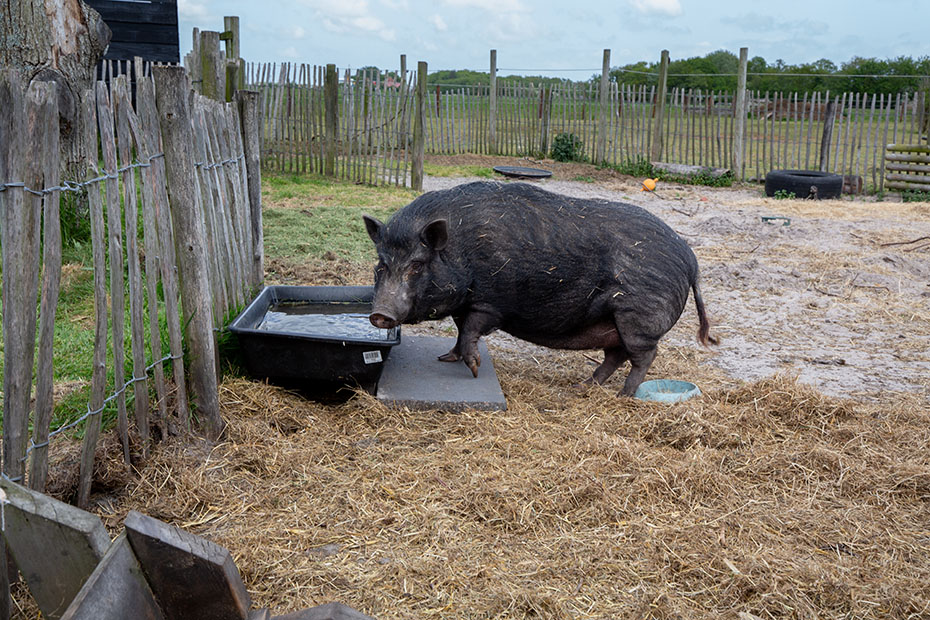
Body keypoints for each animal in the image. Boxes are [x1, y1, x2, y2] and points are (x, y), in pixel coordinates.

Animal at [362, 181, 716, 396]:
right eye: (381, 263)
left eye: (417, 264)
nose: (380, 314)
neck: (462, 251)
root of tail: (690, 259)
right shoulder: (465, 304)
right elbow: (461, 332)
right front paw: (445, 358)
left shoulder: (490, 303)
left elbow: (472, 330)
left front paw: (473, 370)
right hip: (612, 322)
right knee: (615, 355)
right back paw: (583, 386)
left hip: (638, 317)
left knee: (644, 356)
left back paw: (622, 395)